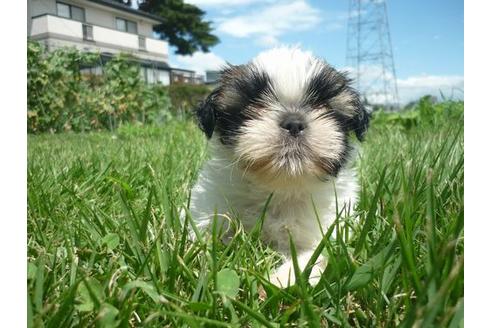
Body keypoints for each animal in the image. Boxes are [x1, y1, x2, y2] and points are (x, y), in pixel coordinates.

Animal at [188, 46, 368, 288]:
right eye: (254, 104)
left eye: (323, 106)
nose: (294, 122)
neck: (280, 188)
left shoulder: (331, 228)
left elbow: (317, 254)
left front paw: (281, 280)